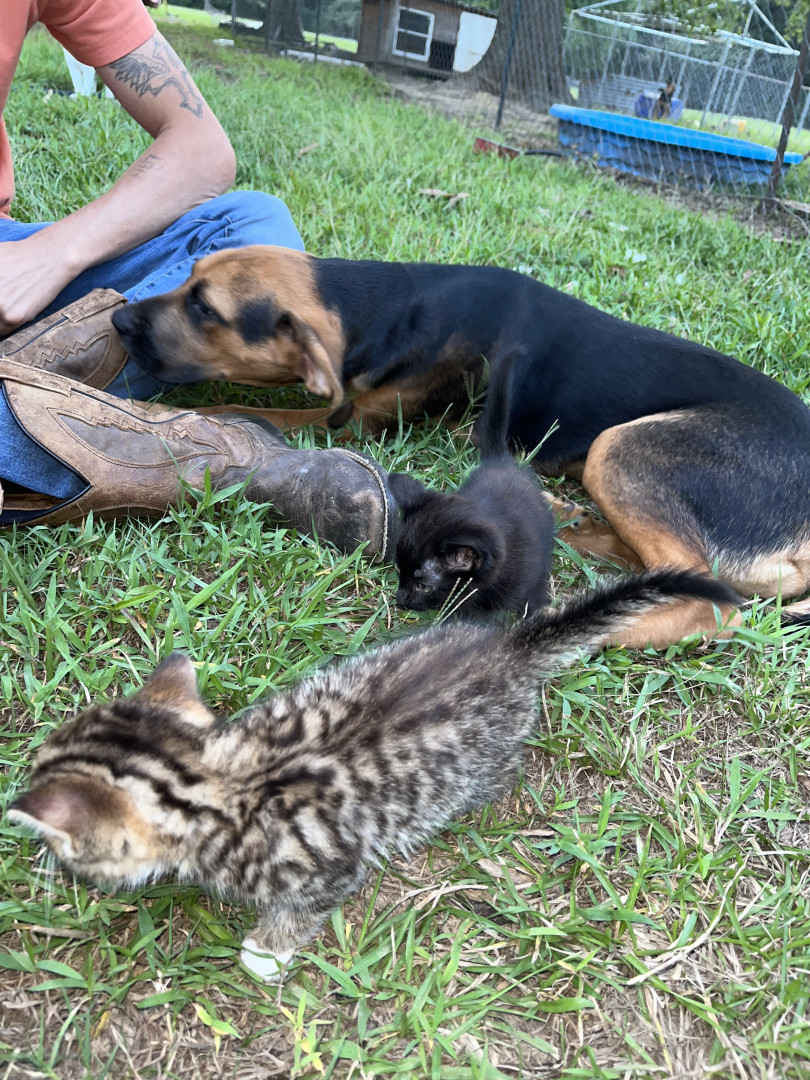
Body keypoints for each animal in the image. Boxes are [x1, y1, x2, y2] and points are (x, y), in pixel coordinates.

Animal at [8, 569, 737, 983]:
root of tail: (505, 648)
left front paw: (266, 954)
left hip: (487, 761)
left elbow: (303, 909)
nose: (39, 857)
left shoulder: (330, 865)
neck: (217, 784)